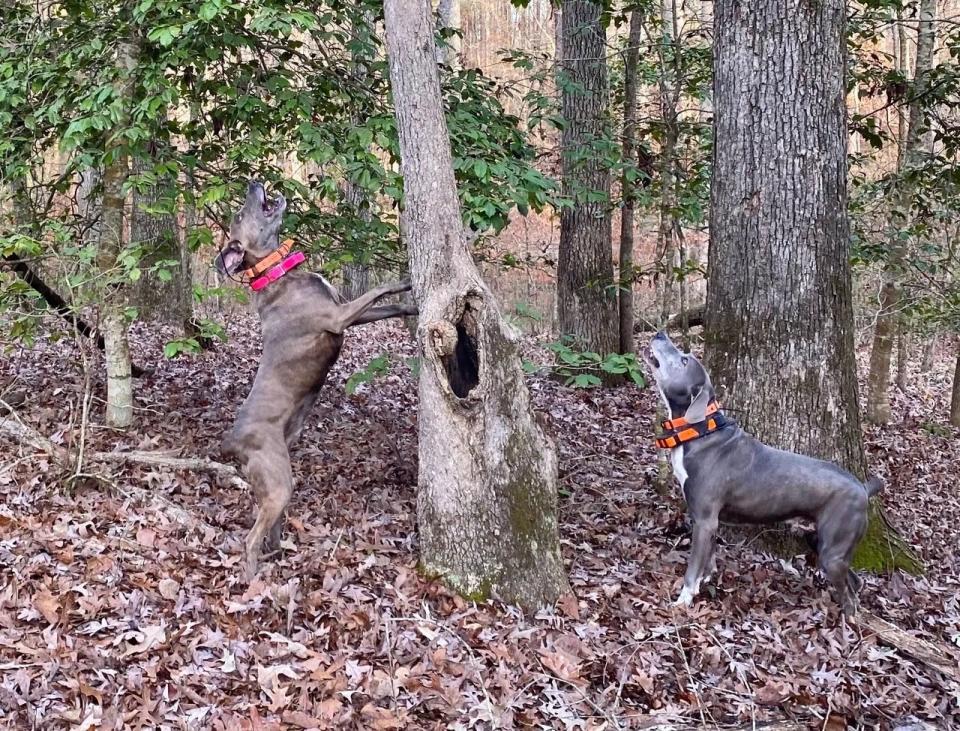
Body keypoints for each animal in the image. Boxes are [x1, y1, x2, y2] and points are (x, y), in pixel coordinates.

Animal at [216, 179, 414, 576]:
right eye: (241, 214)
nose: (253, 182)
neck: (278, 272)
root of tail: (233, 443)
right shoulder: (337, 316)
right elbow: (376, 291)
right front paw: (407, 281)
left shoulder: (350, 314)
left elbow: (386, 307)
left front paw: (412, 306)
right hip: (278, 480)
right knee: (250, 539)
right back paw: (253, 577)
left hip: (276, 481)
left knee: (268, 526)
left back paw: (278, 551)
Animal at [644, 334, 876, 616]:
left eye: (684, 360)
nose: (661, 334)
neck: (700, 431)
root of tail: (863, 488)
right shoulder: (709, 522)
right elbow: (708, 556)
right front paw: (705, 580)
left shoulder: (705, 519)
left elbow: (693, 566)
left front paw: (683, 600)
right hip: (823, 542)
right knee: (855, 581)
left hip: (832, 549)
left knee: (850, 597)